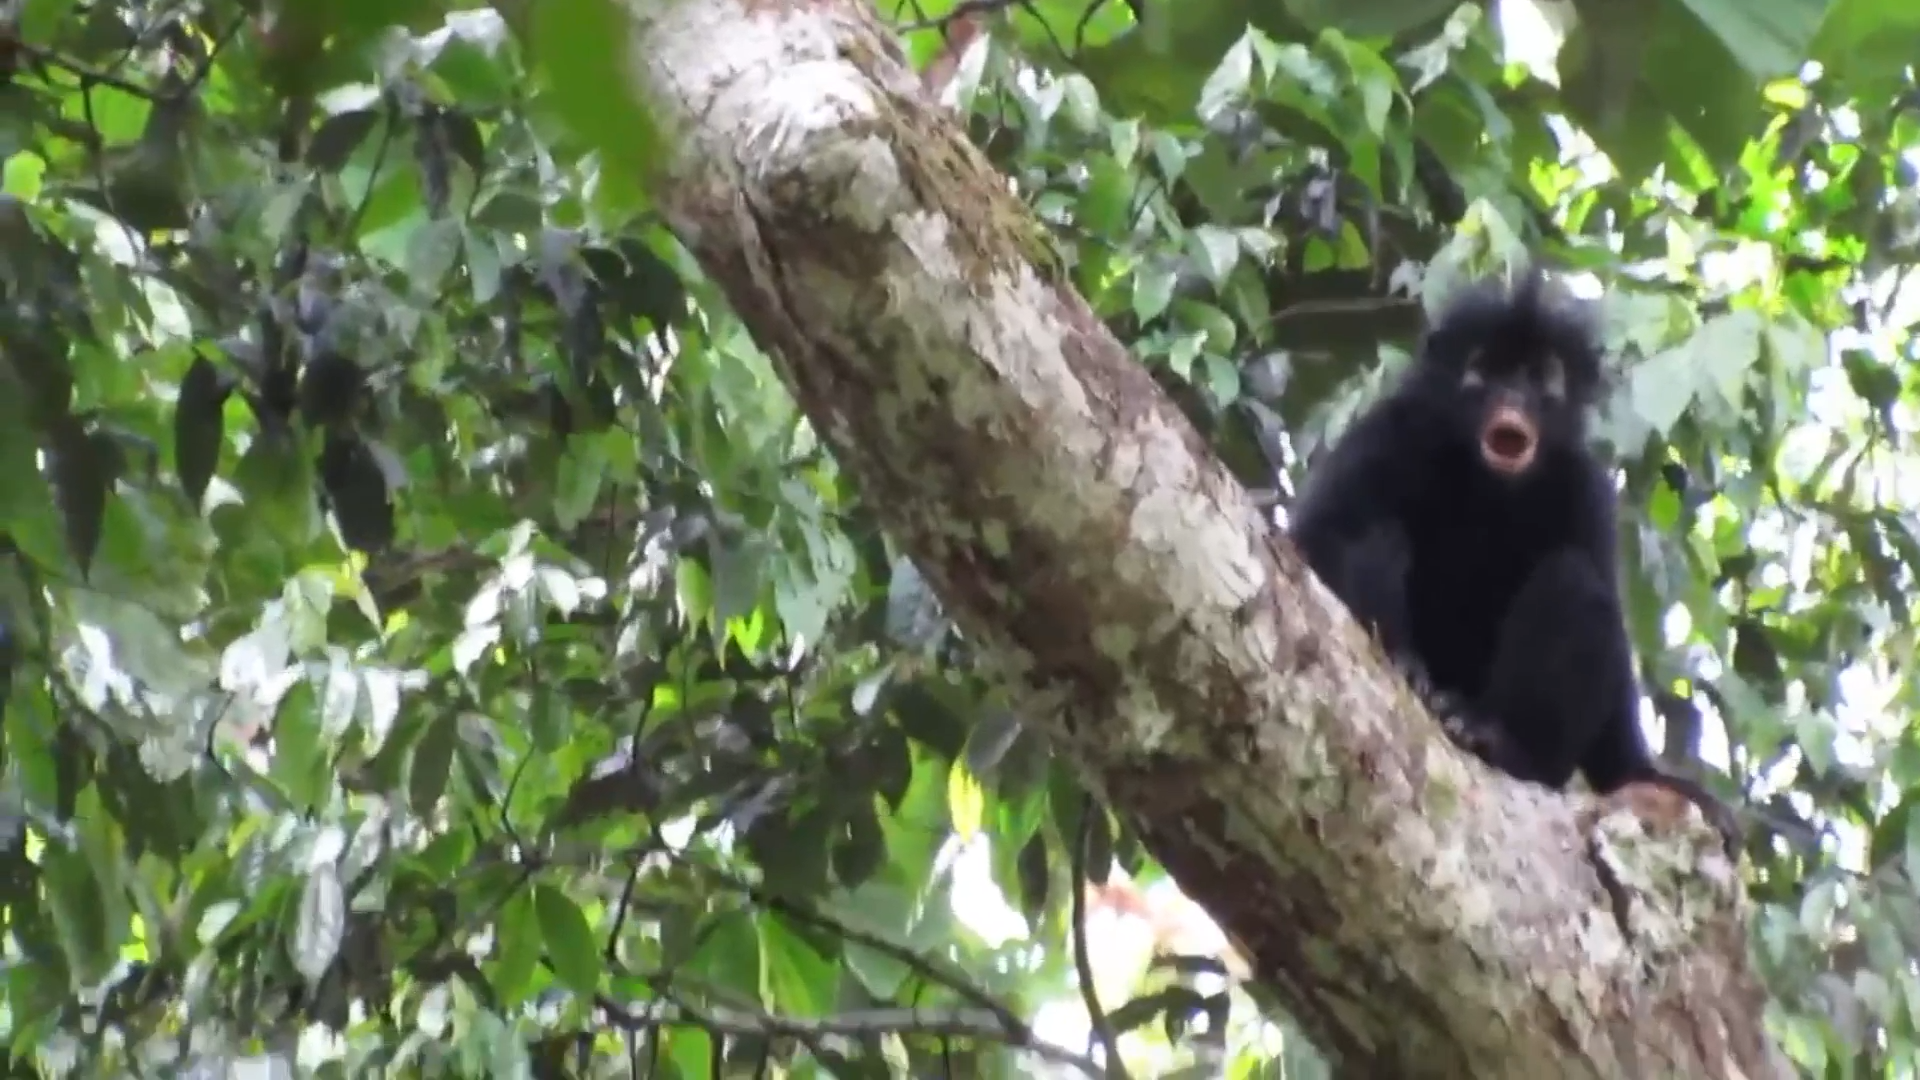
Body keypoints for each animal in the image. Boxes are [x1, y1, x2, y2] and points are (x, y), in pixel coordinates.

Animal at [1286, 267, 1742, 857]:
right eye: (1488, 371)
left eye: (1538, 378)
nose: (1513, 397)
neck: (1490, 487)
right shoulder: (1389, 430)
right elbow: (1312, 537)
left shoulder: (1585, 487)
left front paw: (1644, 776)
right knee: (1373, 532)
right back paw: (1406, 667)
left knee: (1575, 582)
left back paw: (1498, 742)